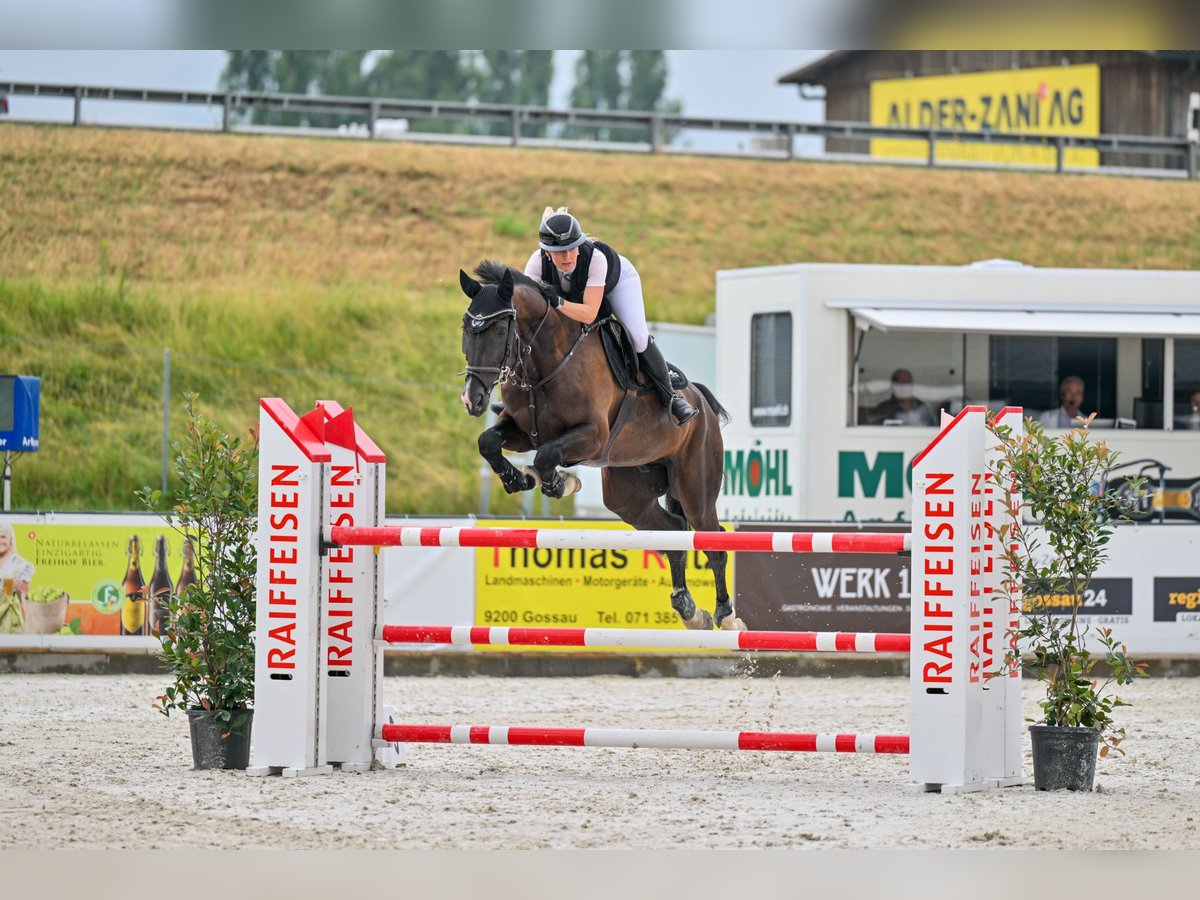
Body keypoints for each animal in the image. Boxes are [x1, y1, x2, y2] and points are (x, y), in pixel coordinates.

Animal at [457, 260, 743, 631]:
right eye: (467, 329)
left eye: (500, 330)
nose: (473, 400)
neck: (544, 363)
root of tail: (701, 403)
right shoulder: (522, 432)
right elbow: (489, 442)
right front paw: (518, 479)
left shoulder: (592, 437)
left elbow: (547, 455)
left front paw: (559, 483)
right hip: (629, 494)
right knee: (674, 531)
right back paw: (690, 611)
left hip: (696, 485)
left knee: (713, 540)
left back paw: (727, 616)